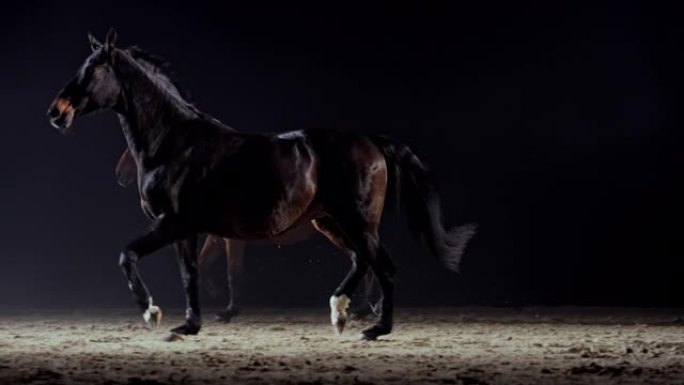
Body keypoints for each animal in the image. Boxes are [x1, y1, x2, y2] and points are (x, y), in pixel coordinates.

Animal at [48, 30, 476, 340]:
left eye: (93, 70)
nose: (56, 112)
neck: (175, 142)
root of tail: (372, 141)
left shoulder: (172, 223)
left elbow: (128, 255)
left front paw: (150, 312)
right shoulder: (187, 230)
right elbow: (190, 275)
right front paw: (188, 325)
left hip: (357, 222)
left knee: (383, 266)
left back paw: (375, 329)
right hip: (331, 222)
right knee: (360, 261)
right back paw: (339, 312)